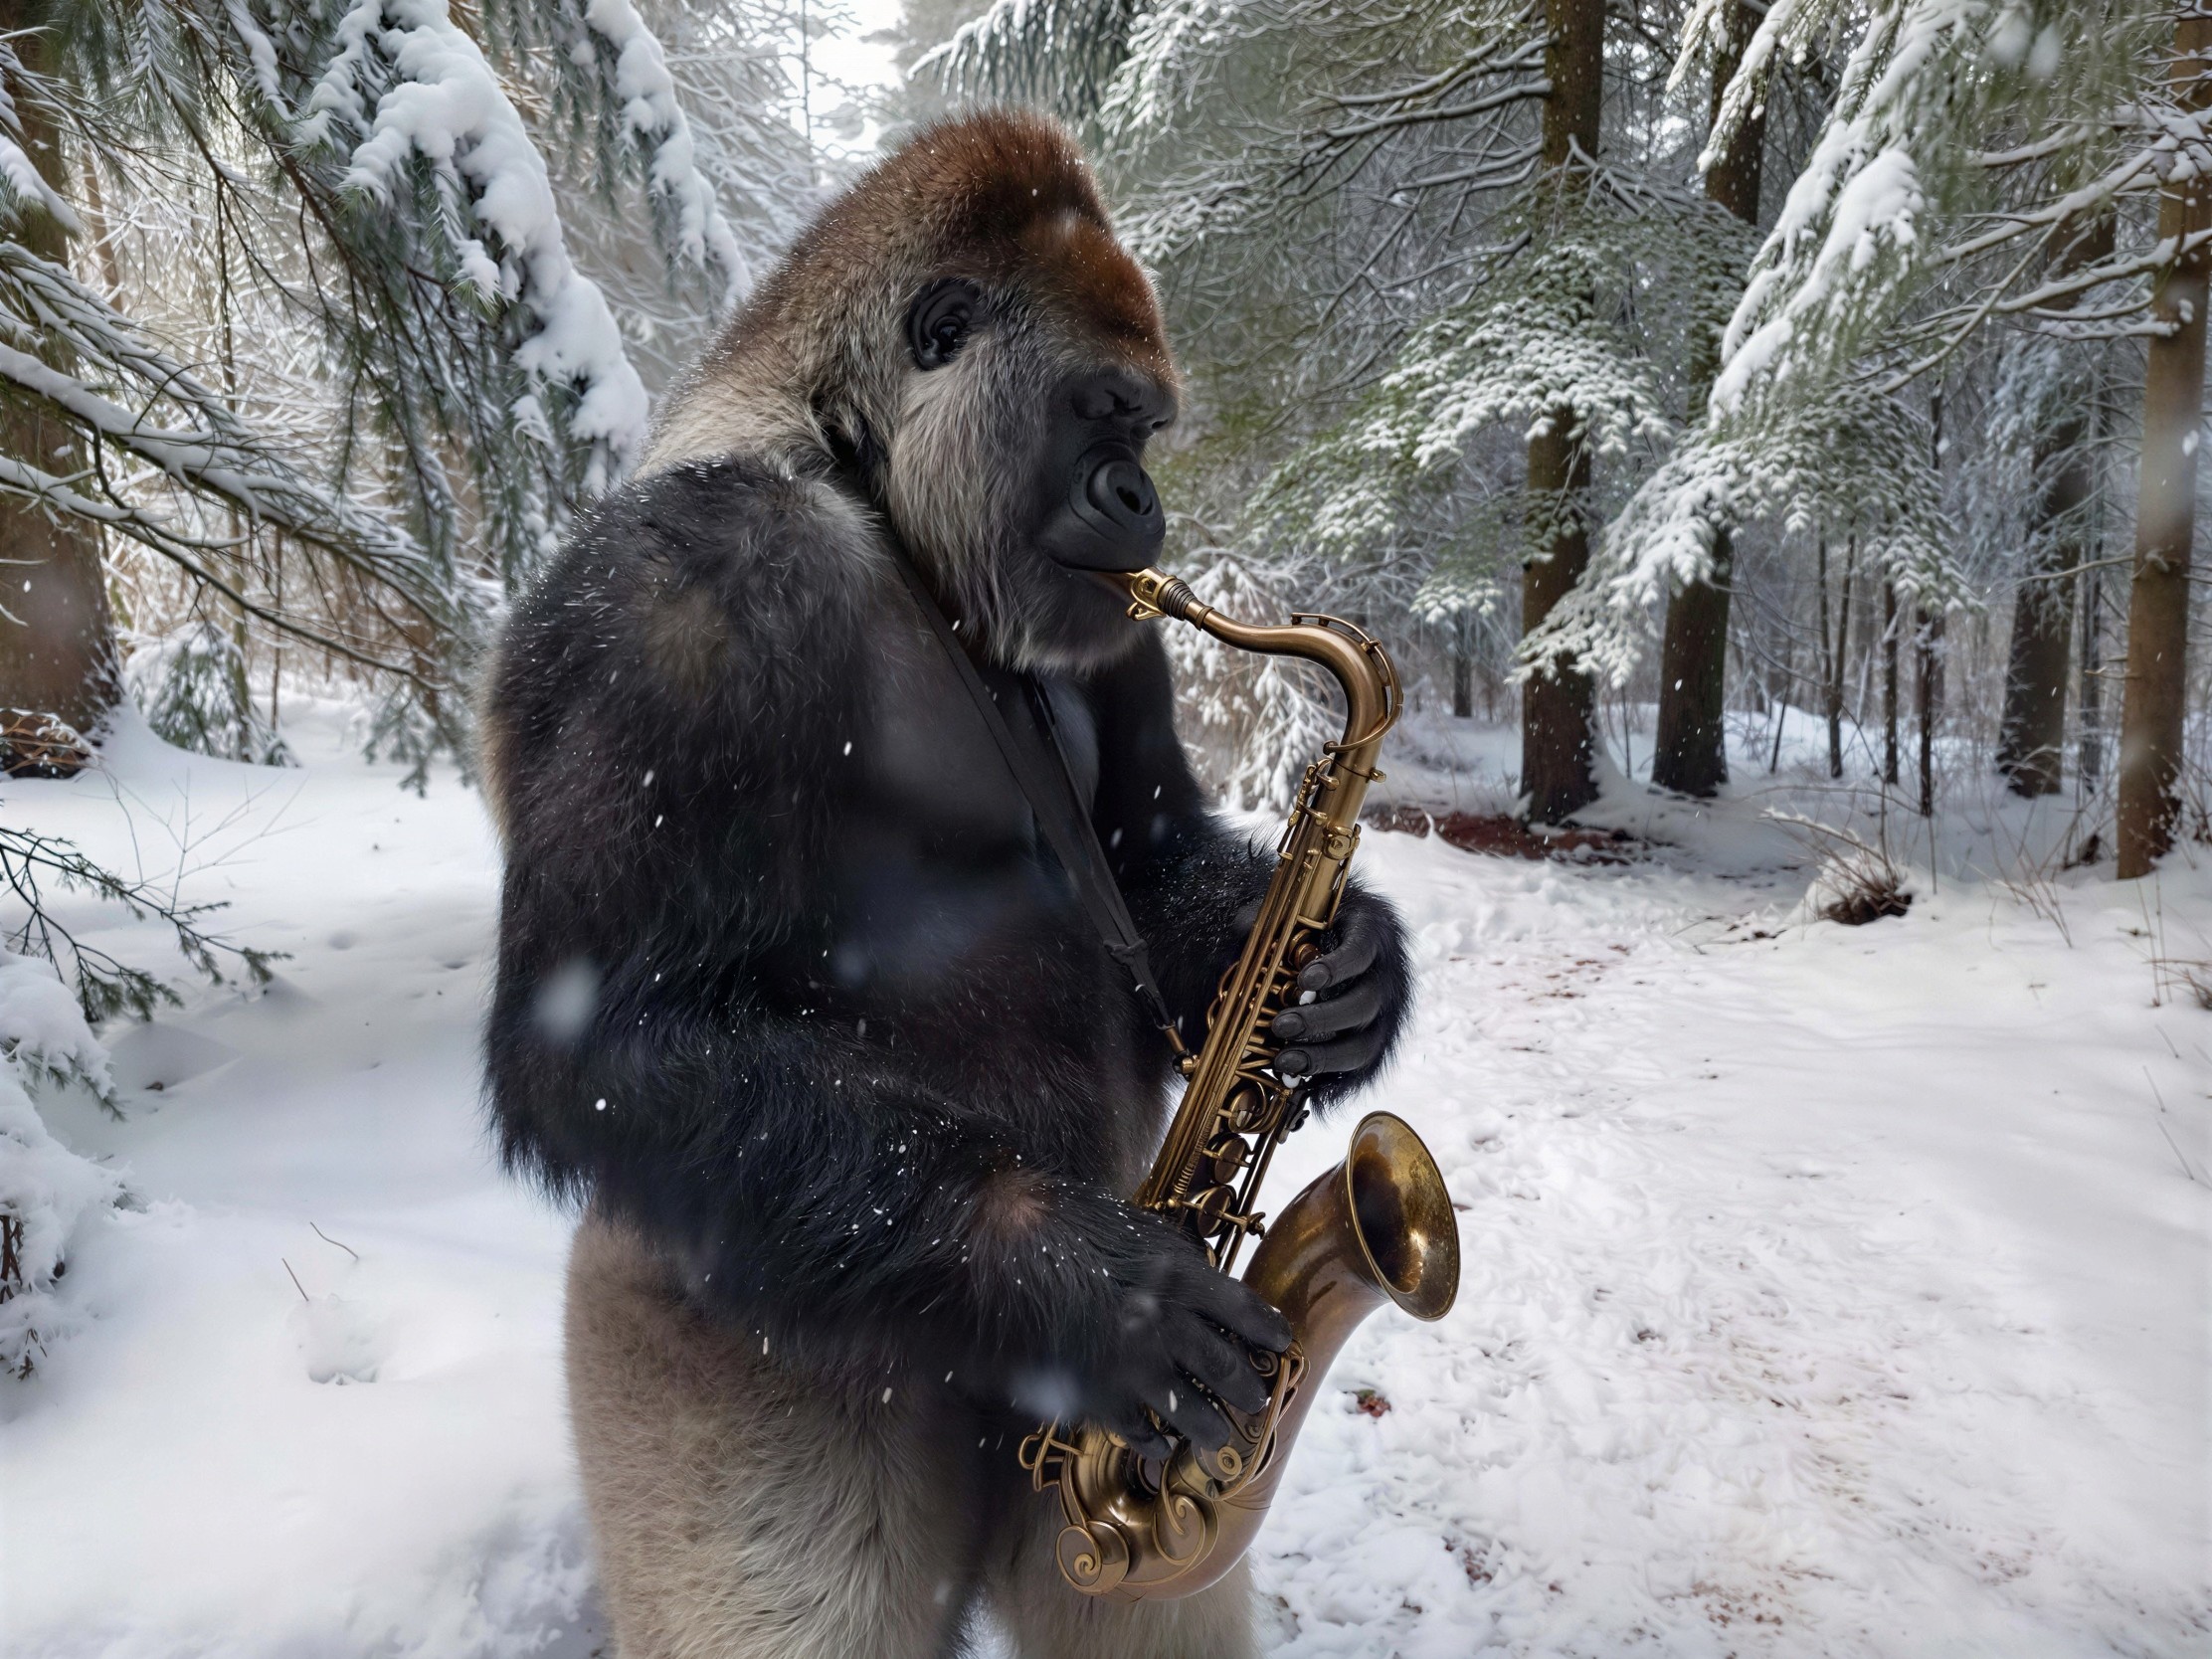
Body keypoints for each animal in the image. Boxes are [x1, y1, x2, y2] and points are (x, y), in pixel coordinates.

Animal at [480, 109, 1411, 1659]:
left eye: (1146, 428)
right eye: (1105, 412)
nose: (1146, 502)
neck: (865, 492)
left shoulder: (1116, 634)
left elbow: (1154, 853)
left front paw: (1356, 978)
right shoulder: (674, 604)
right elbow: (601, 1038)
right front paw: (1095, 1290)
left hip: (1106, 1565)